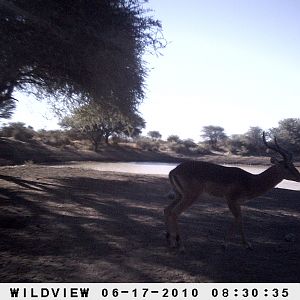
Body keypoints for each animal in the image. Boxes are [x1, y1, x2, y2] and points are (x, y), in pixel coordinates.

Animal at [164, 132, 300, 252]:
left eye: (293, 164)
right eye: (286, 165)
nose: (298, 177)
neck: (251, 180)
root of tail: (174, 170)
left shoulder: (237, 202)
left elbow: (240, 219)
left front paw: (246, 244)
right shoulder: (231, 200)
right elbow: (238, 218)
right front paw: (227, 244)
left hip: (179, 195)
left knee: (167, 210)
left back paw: (171, 241)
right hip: (189, 197)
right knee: (175, 212)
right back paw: (181, 246)